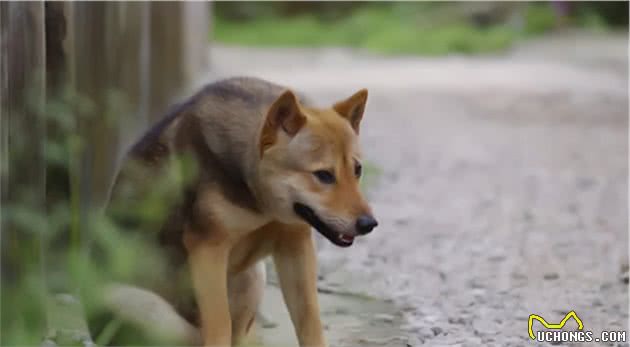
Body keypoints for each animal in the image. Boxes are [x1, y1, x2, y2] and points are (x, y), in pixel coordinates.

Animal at [105, 77, 378, 346]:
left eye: (358, 170)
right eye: (323, 175)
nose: (369, 224)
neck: (262, 204)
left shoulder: (295, 245)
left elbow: (310, 322)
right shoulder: (208, 248)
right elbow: (220, 325)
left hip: (253, 276)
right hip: (138, 303)